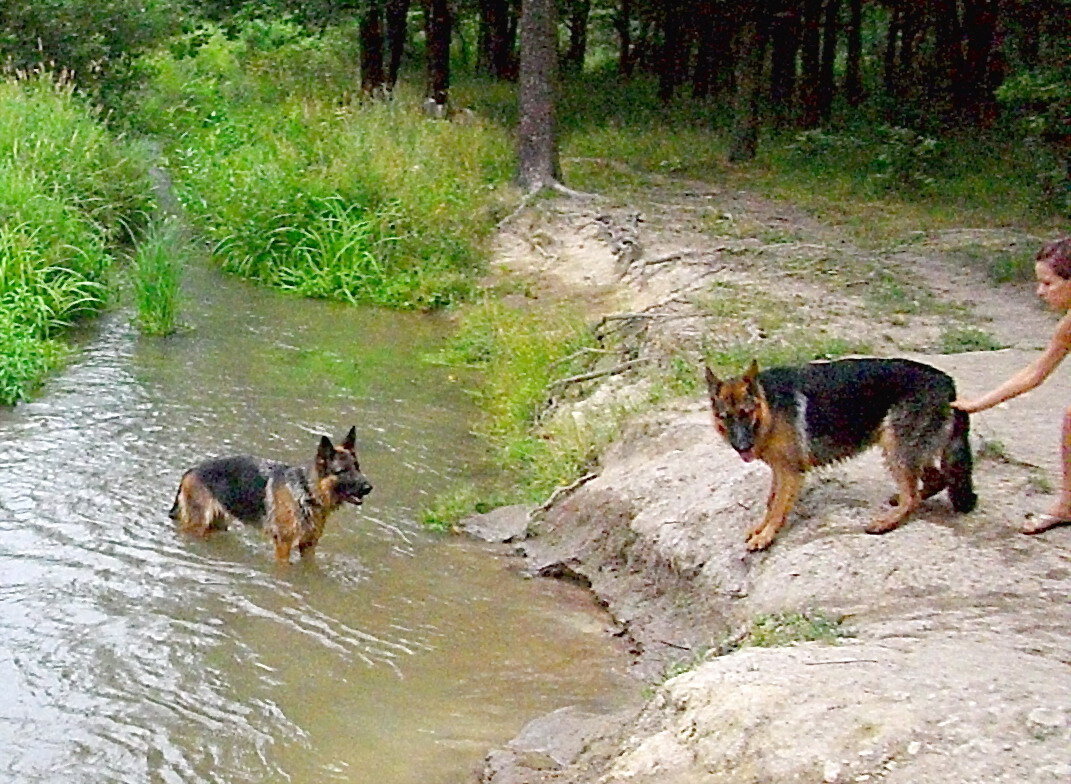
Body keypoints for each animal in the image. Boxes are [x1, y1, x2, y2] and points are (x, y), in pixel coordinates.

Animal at [170, 426, 372, 561]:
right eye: (343, 471)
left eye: (357, 467)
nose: (369, 488)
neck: (306, 492)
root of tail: (191, 471)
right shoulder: (283, 545)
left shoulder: (308, 546)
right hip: (197, 525)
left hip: (217, 524)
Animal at [706, 357, 976, 552]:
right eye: (726, 417)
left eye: (745, 413)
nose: (742, 446)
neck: (768, 407)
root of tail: (947, 382)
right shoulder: (780, 469)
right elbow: (771, 502)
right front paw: (761, 529)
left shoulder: (790, 473)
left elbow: (778, 506)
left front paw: (766, 536)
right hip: (900, 446)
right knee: (935, 480)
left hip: (895, 446)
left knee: (913, 497)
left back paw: (886, 522)